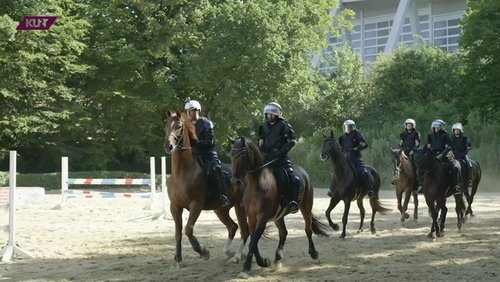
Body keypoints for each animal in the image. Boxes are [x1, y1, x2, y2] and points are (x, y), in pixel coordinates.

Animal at [164, 110, 250, 266]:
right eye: (166, 125)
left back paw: (238, 256)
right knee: (233, 227)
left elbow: (188, 229)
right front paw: (178, 257)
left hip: (240, 207)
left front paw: (203, 252)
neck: (182, 172)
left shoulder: (196, 205)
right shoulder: (175, 207)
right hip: (220, 210)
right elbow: (178, 233)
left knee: (245, 231)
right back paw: (229, 252)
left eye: (179, 126)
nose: (169, 146)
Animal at [229, 136, 328, 278]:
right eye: (231, 155)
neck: (257, 185)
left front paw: (246, 268)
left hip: (306, 207)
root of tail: (304, 172)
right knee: (283, 232)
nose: (234, 181)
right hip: (279, 216)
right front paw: (263, 261)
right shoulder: (252, 217)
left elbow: (254, 240)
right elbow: (253, 240)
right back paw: (278, 259)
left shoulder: (263, 218)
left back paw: (314, 253)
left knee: (308, 229)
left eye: (242, 155)